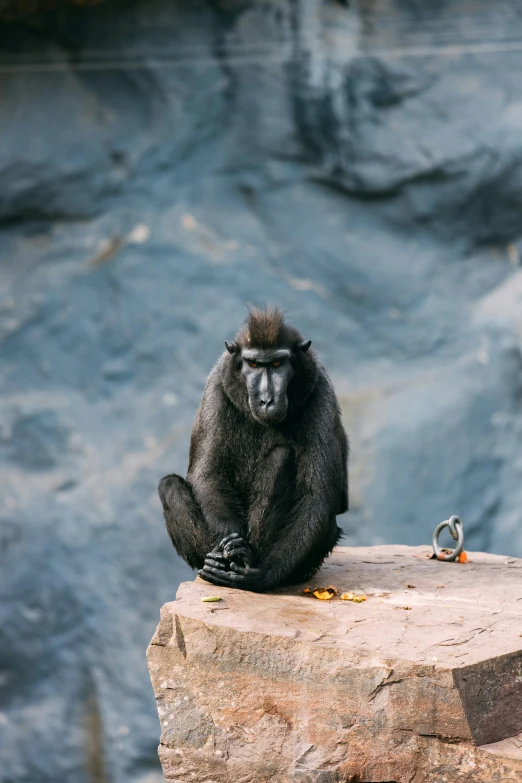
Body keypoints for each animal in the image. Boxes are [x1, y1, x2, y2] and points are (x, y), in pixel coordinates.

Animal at [157, 310, 346, 592]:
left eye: (278, 364)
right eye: (254, 365)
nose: (266, 400)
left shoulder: (320, 394)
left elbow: (318, 495)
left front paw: (262, 575)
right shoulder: (216, 388)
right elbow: (208, 475)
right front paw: (230, 546)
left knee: (281, 457)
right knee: (169, 486)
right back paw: (215, 564)